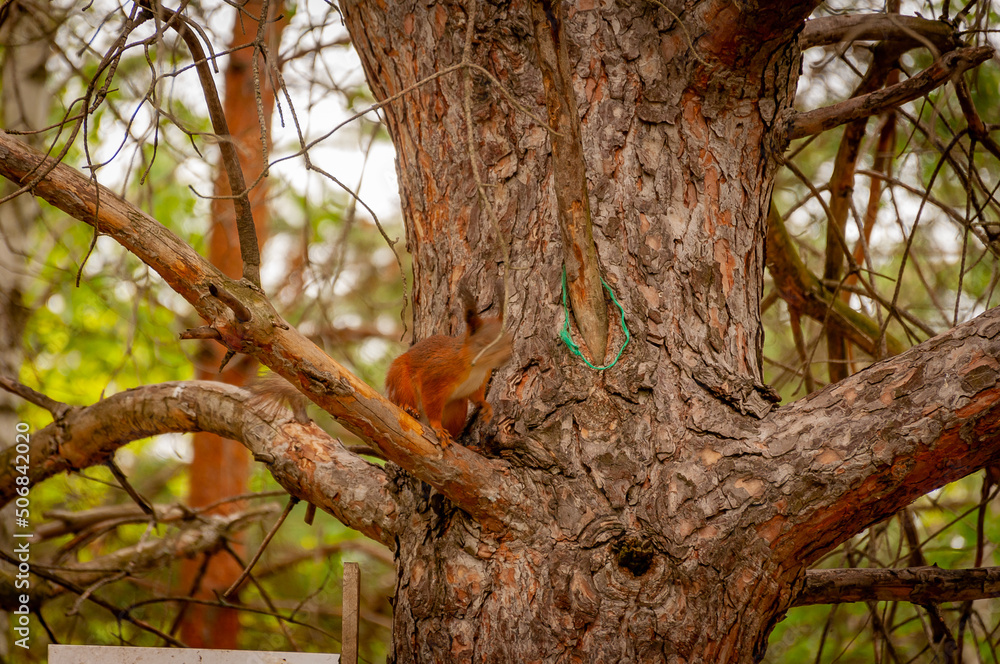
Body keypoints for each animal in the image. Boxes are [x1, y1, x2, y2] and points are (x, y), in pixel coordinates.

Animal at [385, 295, 511, 446]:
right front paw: (437, 427)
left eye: (509, 340)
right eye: (483, 343)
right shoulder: (436, 375)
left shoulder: (479, 381)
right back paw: (408, 408)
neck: (478, 367)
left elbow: (477, 396)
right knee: (403, 394)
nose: (507, 356)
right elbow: (431, 401)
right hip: (401, 378)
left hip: (457, 406)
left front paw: (485, 405)